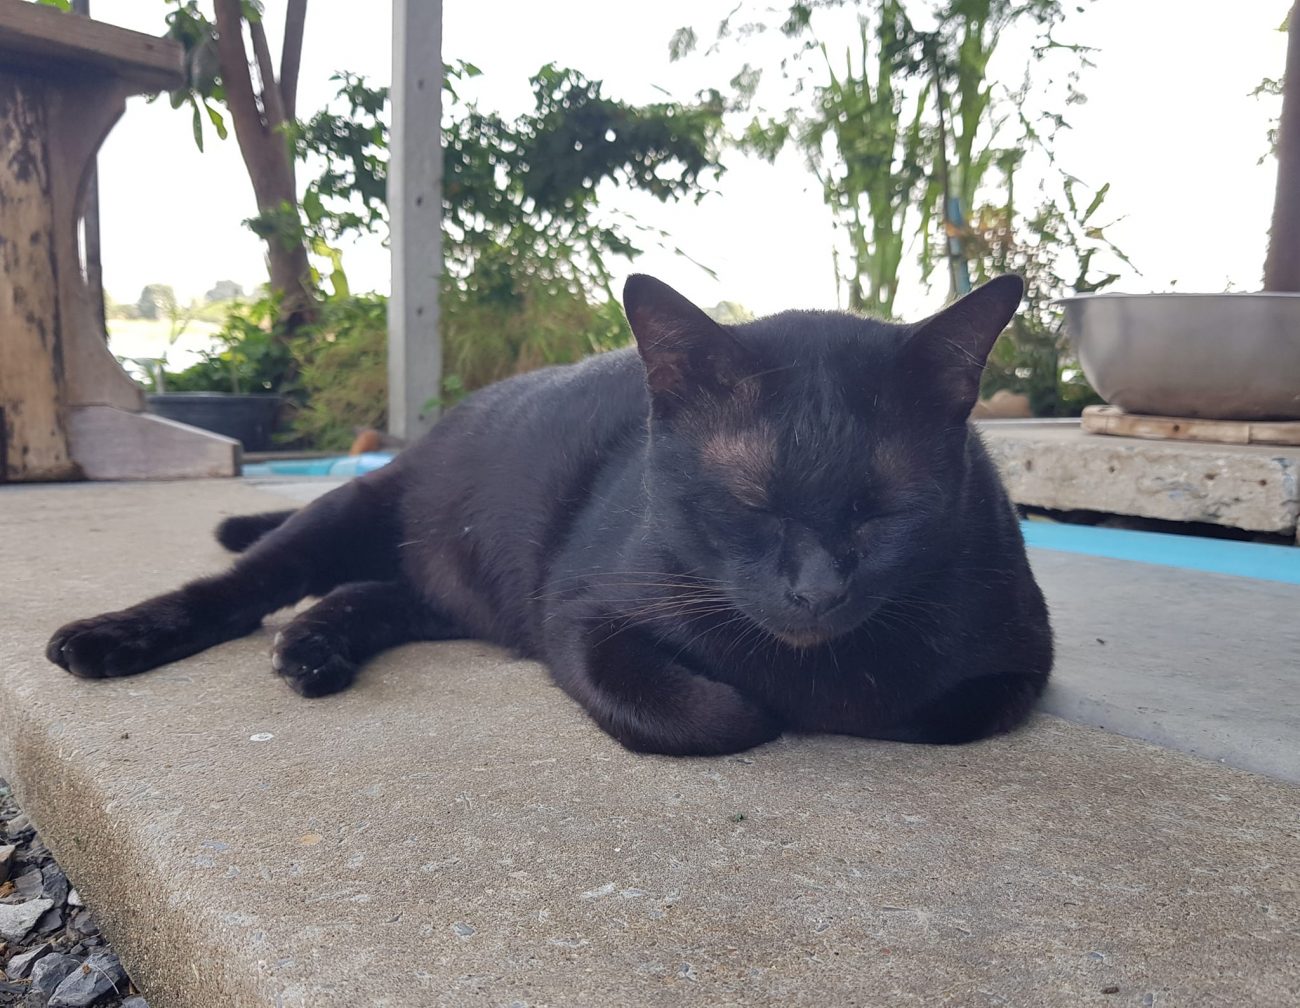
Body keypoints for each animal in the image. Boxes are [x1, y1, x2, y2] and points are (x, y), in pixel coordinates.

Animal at [47, 274, 1052, 757]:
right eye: (747, 502)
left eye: (886, 509)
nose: (815, 591)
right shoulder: (582, 617)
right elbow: (708, 714)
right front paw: (765, 706)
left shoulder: (1016, 665)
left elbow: (933, 709)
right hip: (352, 514)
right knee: (239, 587)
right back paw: (109, 638)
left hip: (450, 589)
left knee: (366, 597)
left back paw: (310, 651)